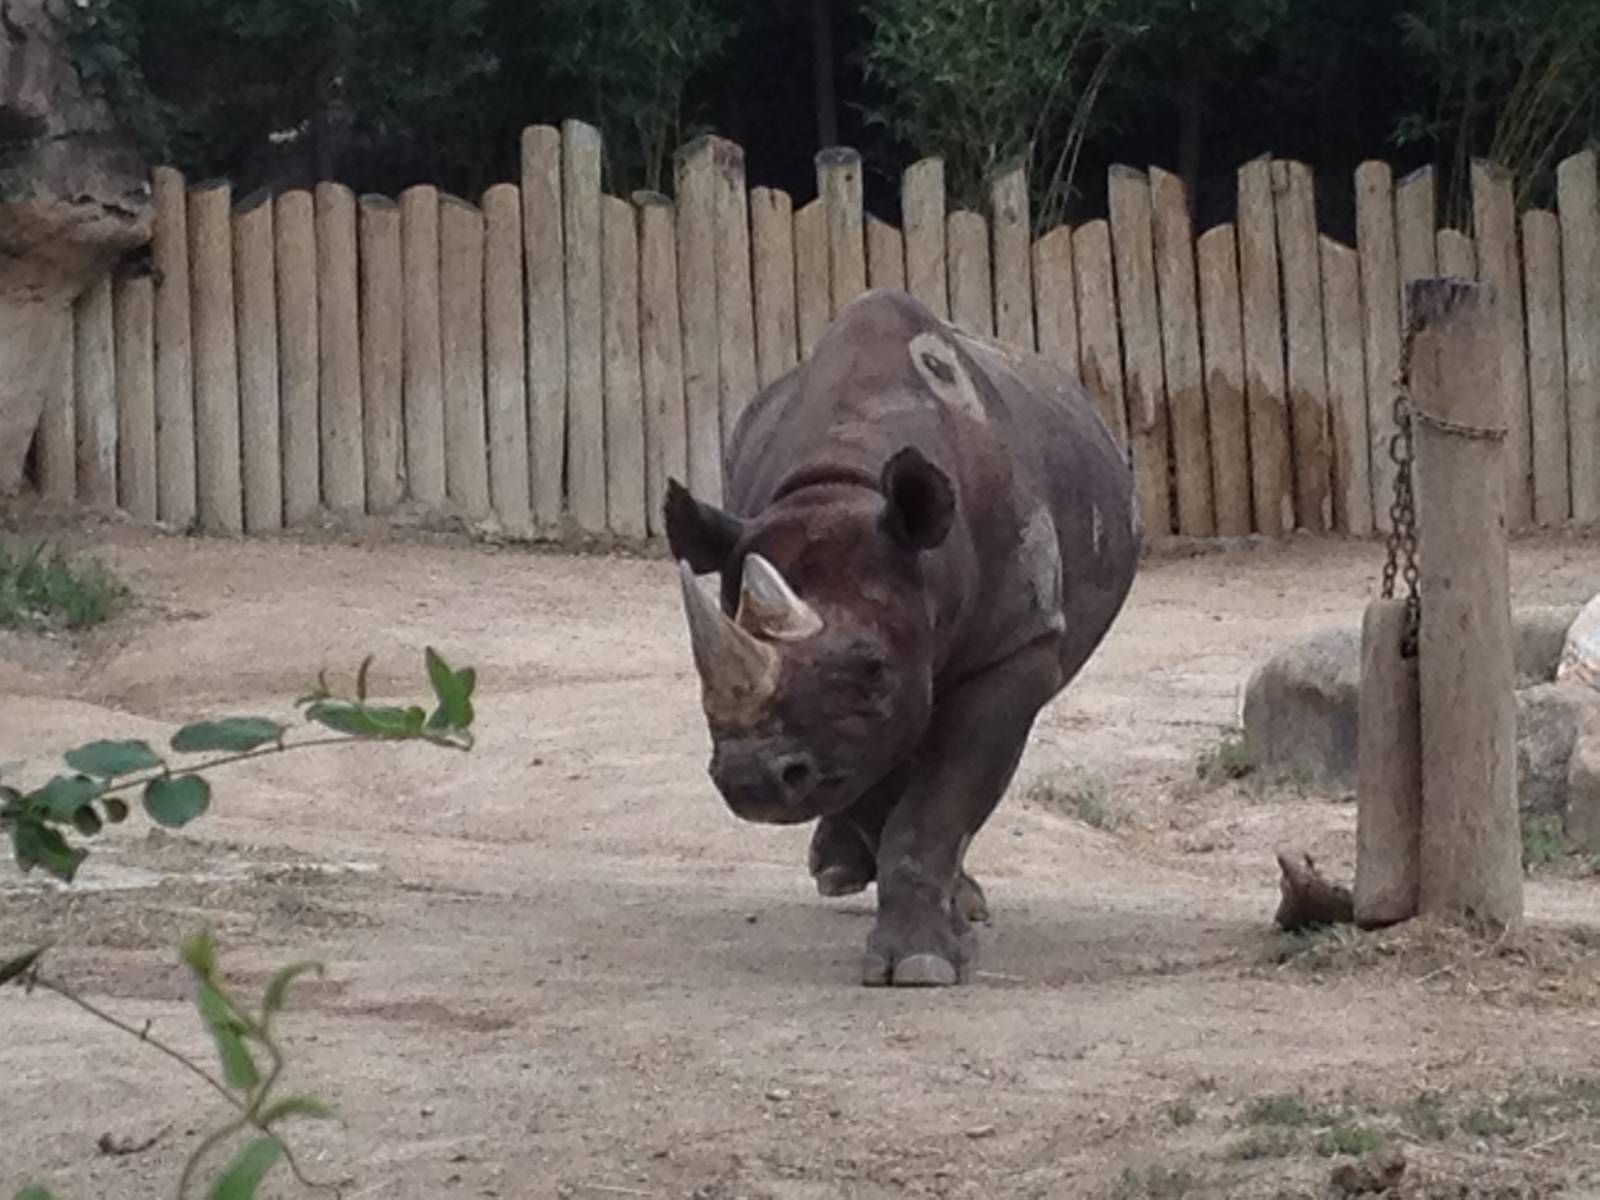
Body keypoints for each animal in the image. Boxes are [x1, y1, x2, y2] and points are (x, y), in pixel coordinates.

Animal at [665, 288, 1139, 987]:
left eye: (872, 671)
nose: (753, 781)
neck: (844, 485)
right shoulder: (849, 731)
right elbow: (875, 786)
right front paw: (927, 939)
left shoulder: (1015, 647)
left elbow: (936, 803)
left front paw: (922, 964)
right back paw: (844, 874)